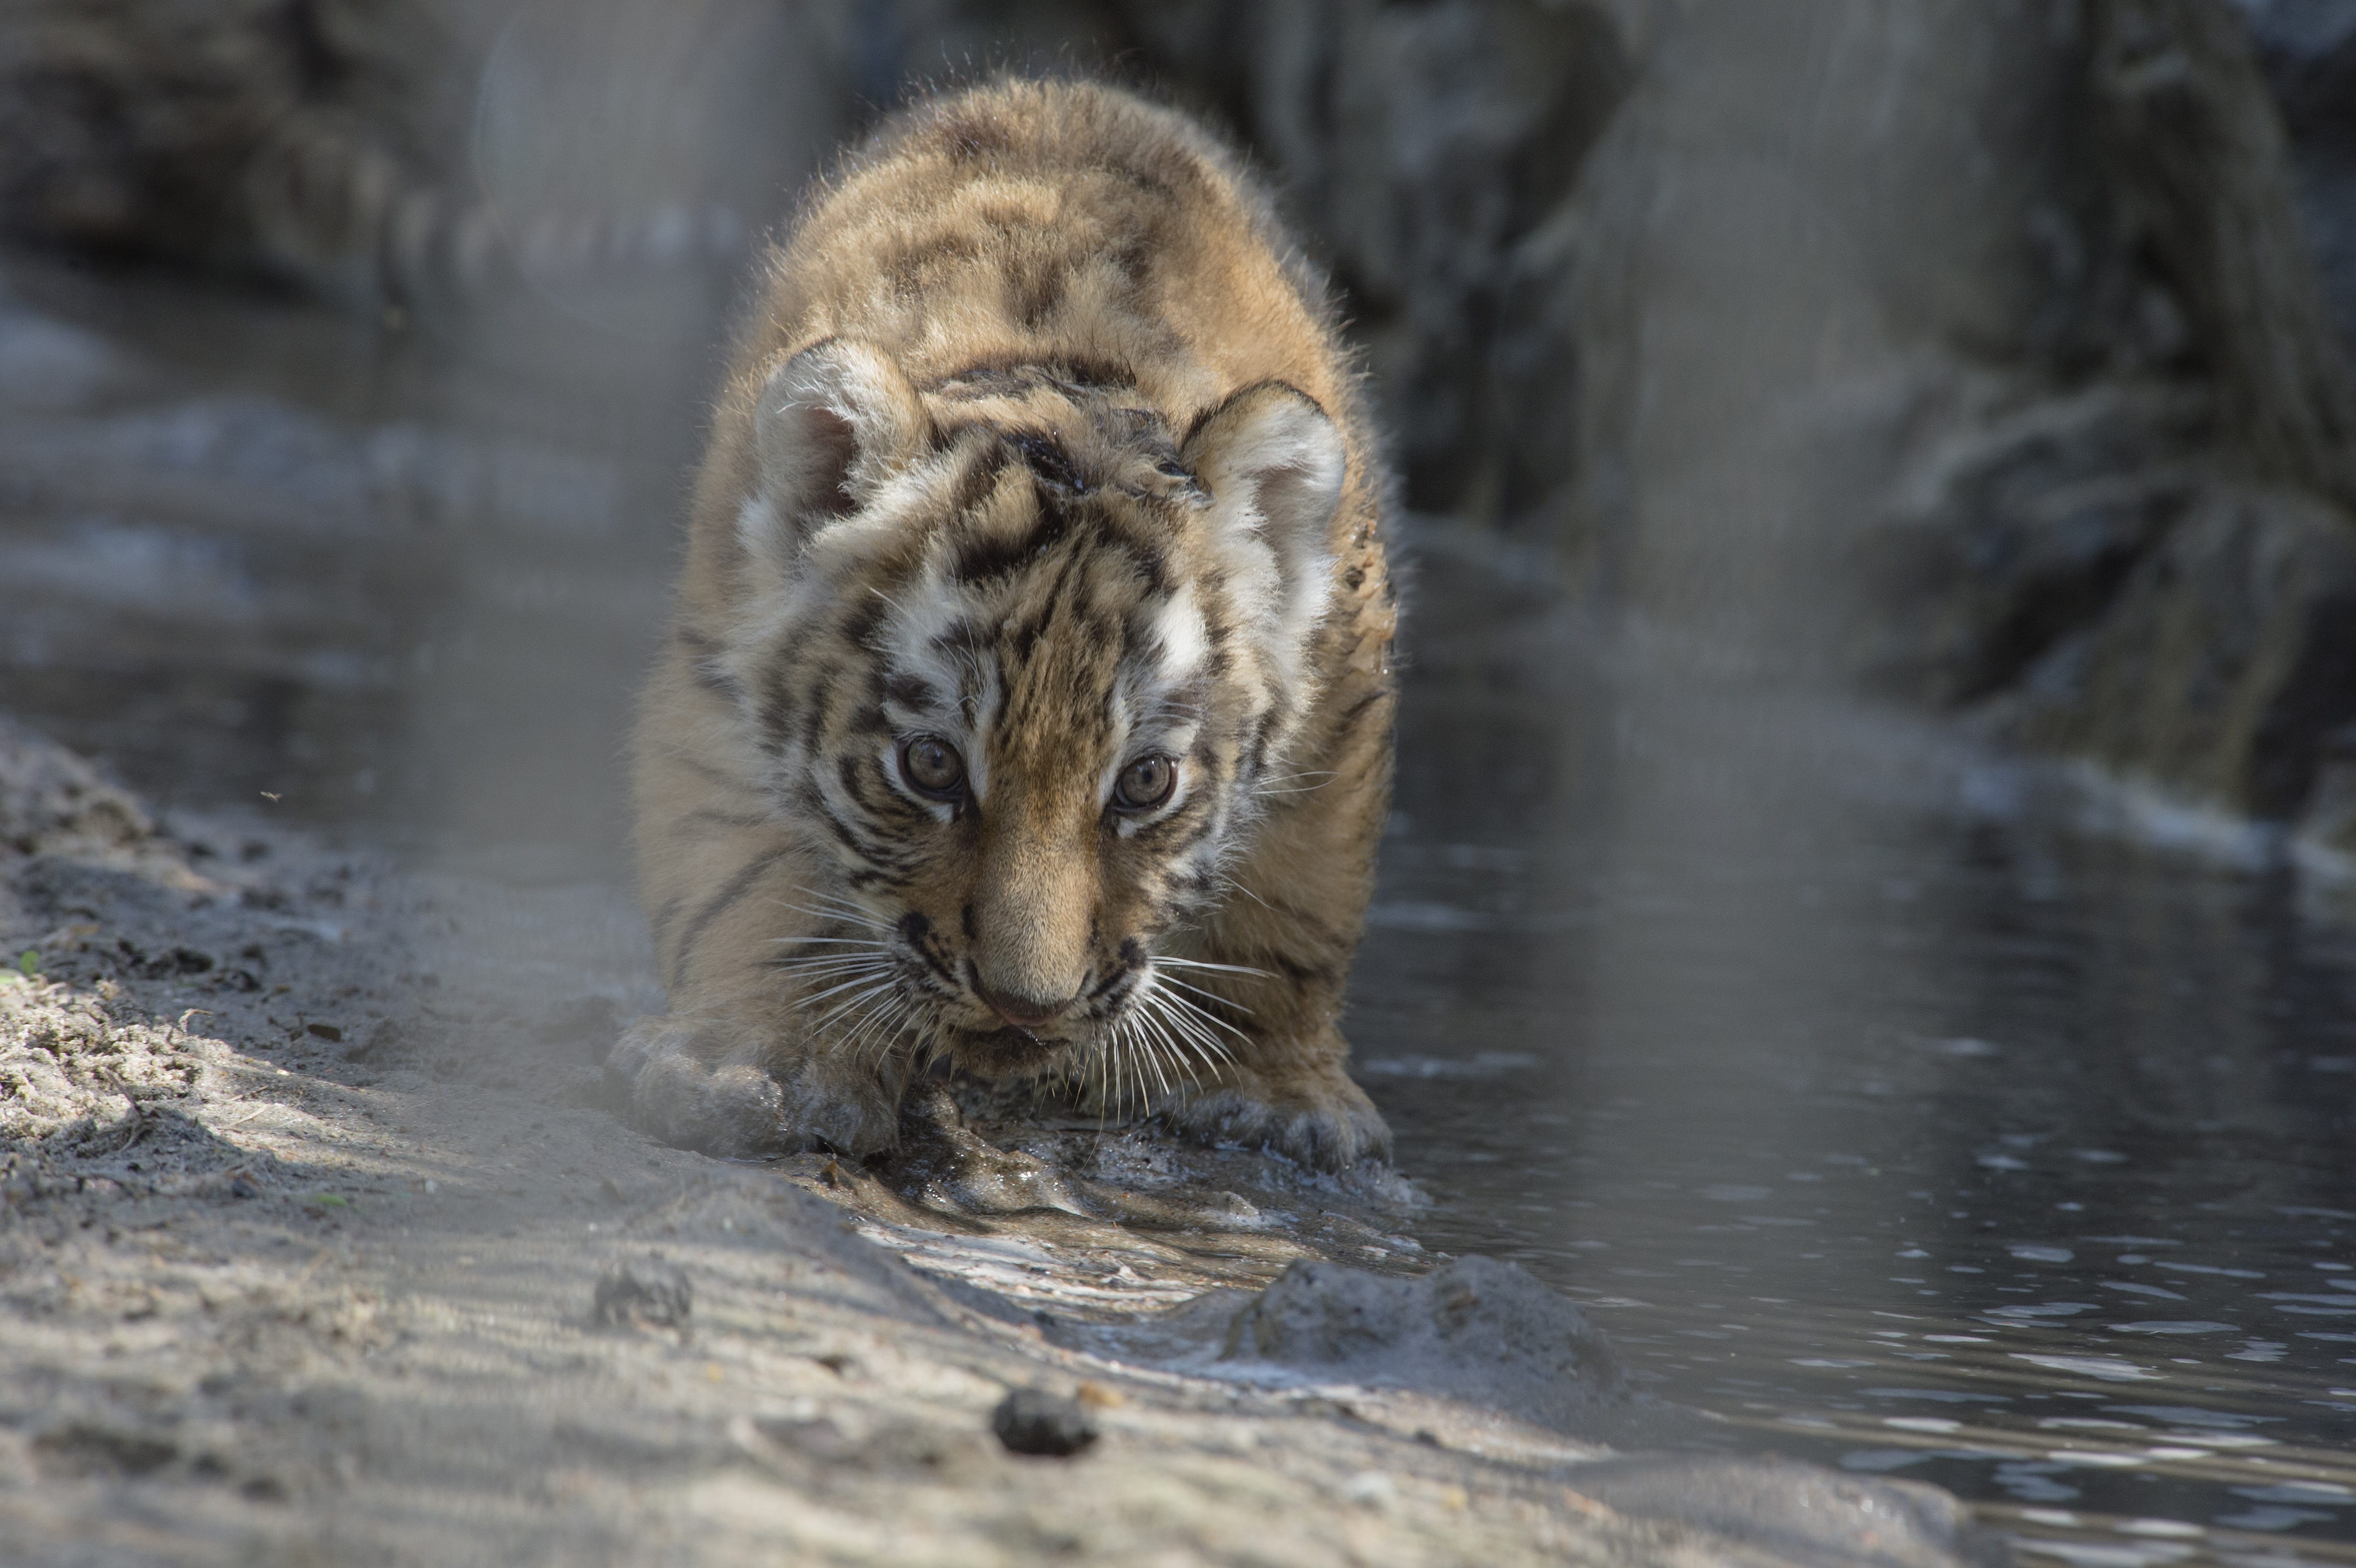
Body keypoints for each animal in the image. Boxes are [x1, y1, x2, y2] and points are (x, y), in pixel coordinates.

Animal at [610, 78, 1400, 1172]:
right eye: (930, 766)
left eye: (1146, 783)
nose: (1026, 1004)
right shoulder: (720, 660)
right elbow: (740, 868)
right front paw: (760, 1059)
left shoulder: (1341, 700)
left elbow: (1296, 904)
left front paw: (1271, 1090)